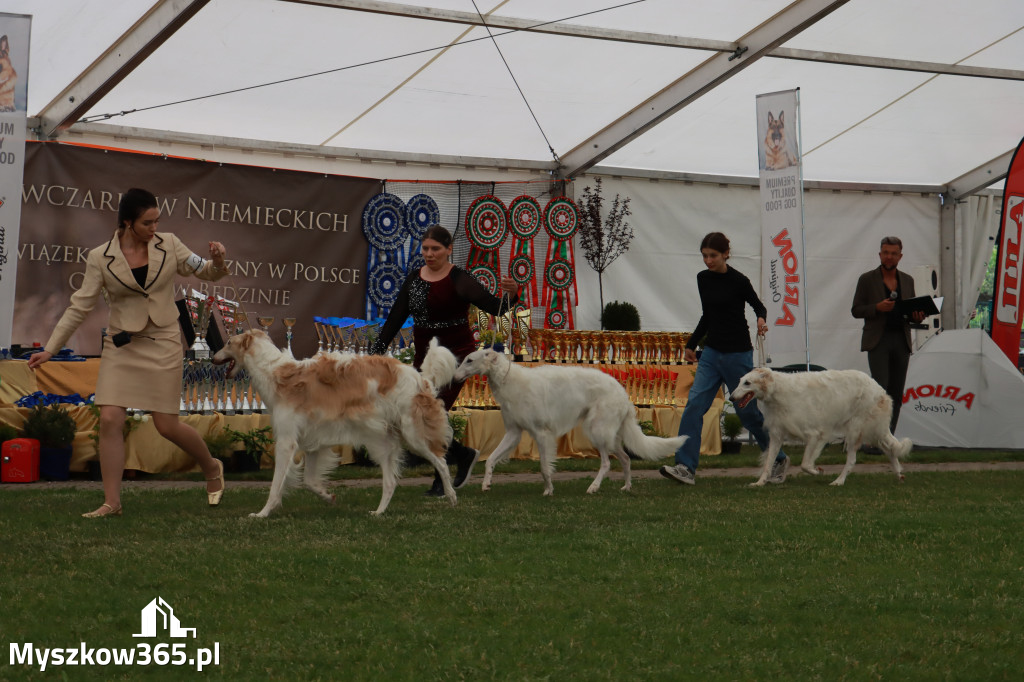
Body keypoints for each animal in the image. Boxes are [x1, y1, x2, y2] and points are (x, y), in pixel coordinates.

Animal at [211, 329, 456, 516]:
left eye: (228, 342)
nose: (212, 358)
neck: (275, 374)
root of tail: (419, 377)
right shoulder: (313, 443)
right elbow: (309, 481)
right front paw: (329, 497)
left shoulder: (286, 442)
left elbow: (276, 486)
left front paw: (262, 513)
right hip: (383, 442)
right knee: (390, 482)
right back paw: (378, 512)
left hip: (413, 436)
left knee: (442, 463)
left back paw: (452, 498)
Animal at [452, 348, 684, 491]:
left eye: (469, 360)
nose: (454, 378)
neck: (510, 380)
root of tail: (623, 395)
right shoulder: (513, 432)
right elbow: (490, 459)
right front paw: (486, 484)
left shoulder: (542, 433)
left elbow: (545, 467)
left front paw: (548, 489)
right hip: (609, 435)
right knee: (626, 459)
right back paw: (626, 487)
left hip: (597, 431)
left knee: (607, 463)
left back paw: (593, 487)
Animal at [729, 364, 913, 485]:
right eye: (739, 381)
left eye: (747, 383)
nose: (731, 398)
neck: (778, 390)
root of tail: (879, 389)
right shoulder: (776, 435)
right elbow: (768, 462)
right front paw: (759, 482)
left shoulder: (815, 434)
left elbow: (804, 464)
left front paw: (817, 471)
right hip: (874, 431)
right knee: (889, 449)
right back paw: (899, 474)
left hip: (856, 430)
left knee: (852, 460)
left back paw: (838, 481)